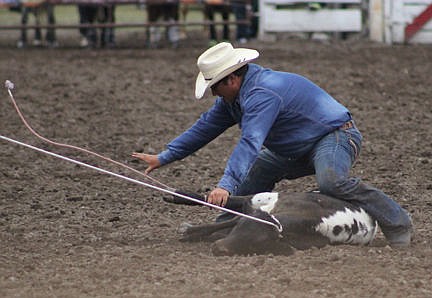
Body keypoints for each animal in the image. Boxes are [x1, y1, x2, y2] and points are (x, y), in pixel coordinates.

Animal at [170, 192, 376, 255]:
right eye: (240, 227)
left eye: (257, 243)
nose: (218, 248)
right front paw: (189, 231)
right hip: (260, 197)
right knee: (235, 201)